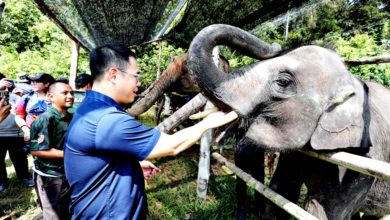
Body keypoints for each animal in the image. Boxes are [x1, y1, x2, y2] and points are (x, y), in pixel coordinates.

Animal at [187, 24, 388, 220]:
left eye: (283, 82)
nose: (276, 45)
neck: (352, 81)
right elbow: (281, 193)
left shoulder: (359, 164)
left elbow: (320, 211)